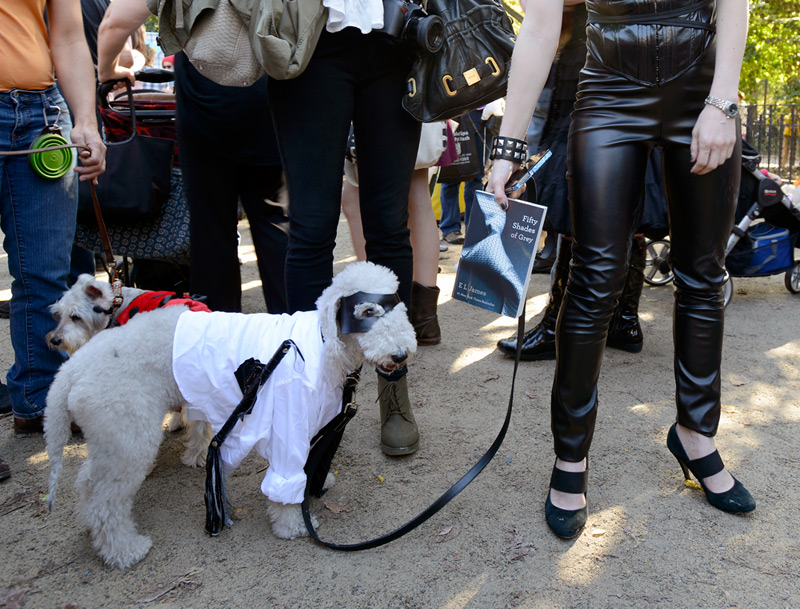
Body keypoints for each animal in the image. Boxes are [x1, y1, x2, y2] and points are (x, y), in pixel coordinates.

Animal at [45, 262, 418, 568]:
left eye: (400, 307)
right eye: (367, 310)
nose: (400, 355)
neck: (324, 343)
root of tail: (70, 372)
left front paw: (315, 480)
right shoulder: (290, 417)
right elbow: (285, 476)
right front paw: (292, 525)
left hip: (111, 436)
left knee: (88, 484)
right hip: (128, 434)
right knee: (105, 502)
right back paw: (125, 550)